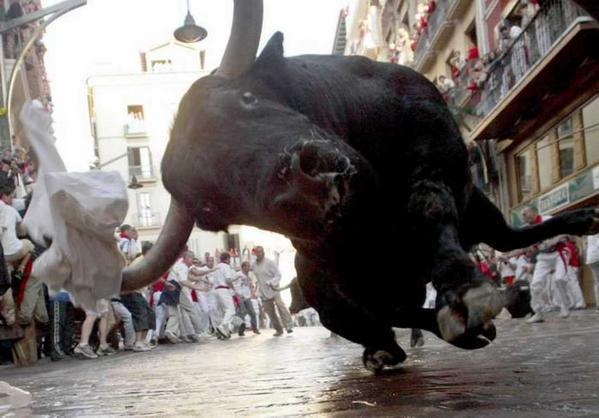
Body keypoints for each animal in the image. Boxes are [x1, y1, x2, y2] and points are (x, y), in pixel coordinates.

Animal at [122, 30, 599, 372]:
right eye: (209, 210)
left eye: (247, 97)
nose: (306, 186)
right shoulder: (324, 271)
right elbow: (371, 311)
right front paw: (438, 325)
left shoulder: (434, 152)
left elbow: (430, 208)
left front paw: (467, 291)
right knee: (393, 314)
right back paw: (403, 345)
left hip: (483, 213)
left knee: (508, 237)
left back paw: (578, 224)